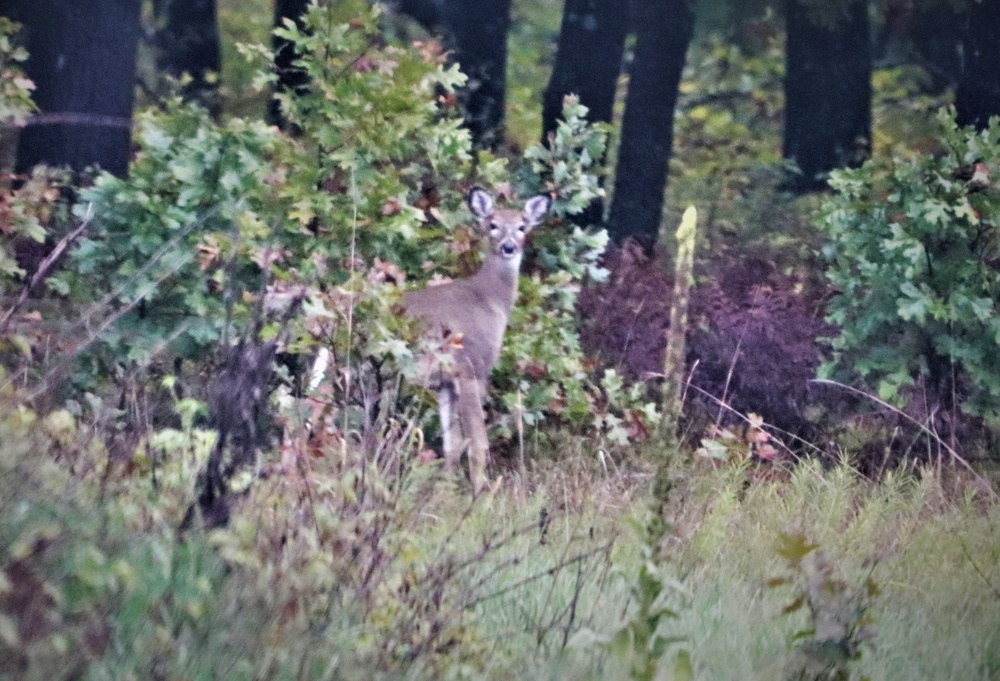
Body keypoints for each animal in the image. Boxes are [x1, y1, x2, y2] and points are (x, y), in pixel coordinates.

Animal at [402, 186, 552, 494]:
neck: (489, 300)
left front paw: (445, 489)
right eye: (492, 224)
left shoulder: (444, 382)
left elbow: (452, 443)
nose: (509, 247)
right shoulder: (472, 367)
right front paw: (481, 492)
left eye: (523, 226)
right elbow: (478, 442)